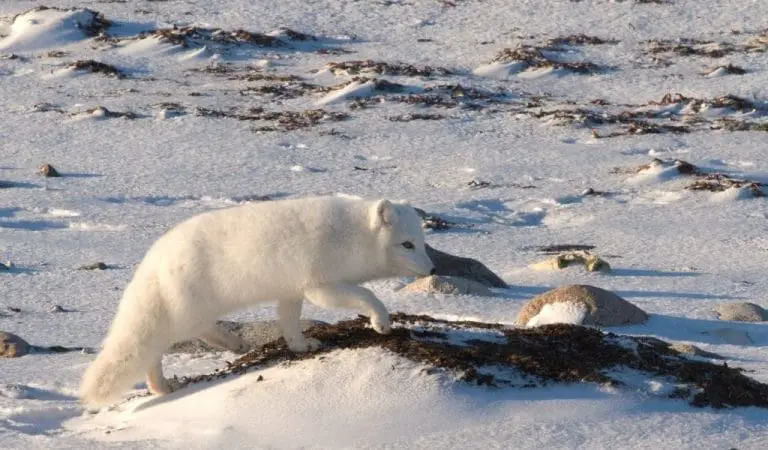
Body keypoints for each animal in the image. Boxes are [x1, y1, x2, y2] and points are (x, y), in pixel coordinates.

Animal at [82, 196, 438, 408]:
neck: (354, 237)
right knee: (165, 343)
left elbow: (289, 321)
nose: (433, 269)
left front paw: (300, 346)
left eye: (422, 243)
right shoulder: (320, 286)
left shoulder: (293, 290)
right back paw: (171, 380)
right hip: (185, 311)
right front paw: (381, 322)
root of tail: (153, 258)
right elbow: (367, 295)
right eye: (406, 244)